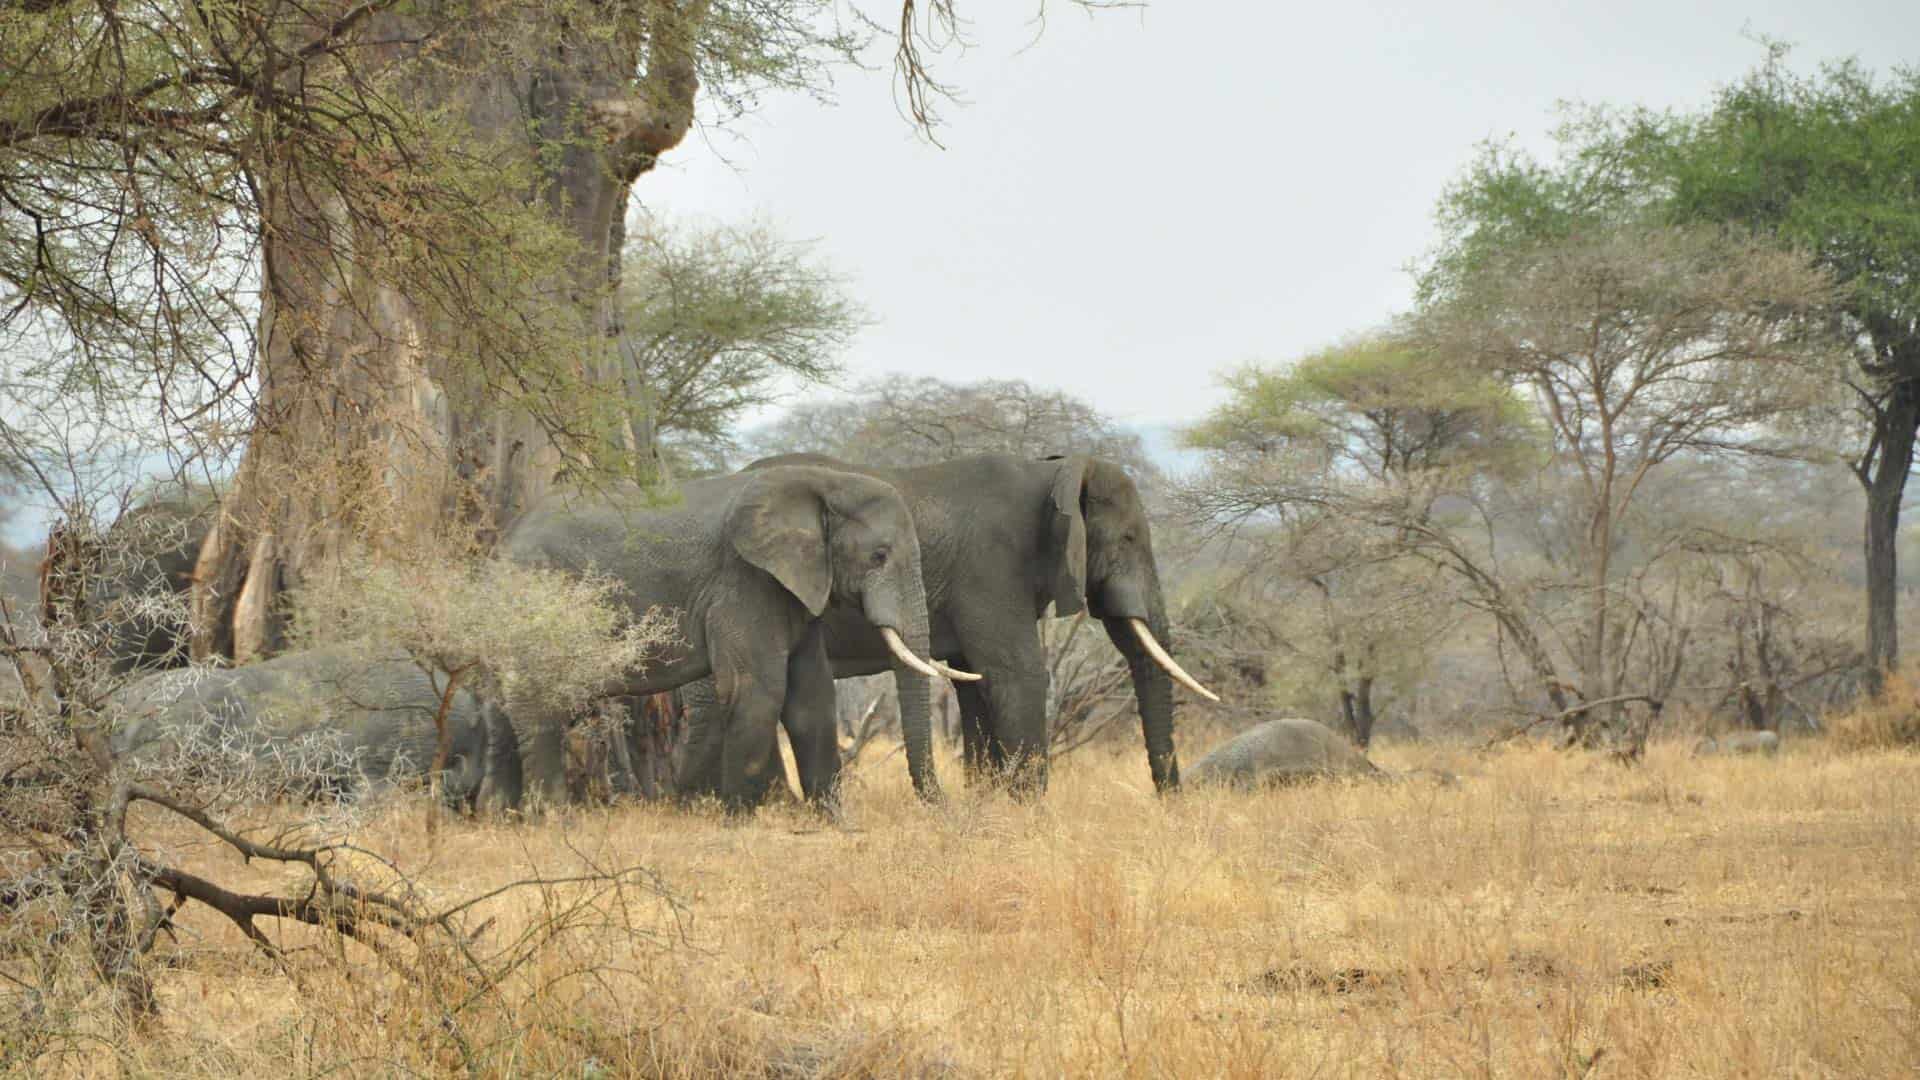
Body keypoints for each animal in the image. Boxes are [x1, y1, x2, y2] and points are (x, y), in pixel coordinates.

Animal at [490, 464, 968, 812]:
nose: (942, 809)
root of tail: (505, 540)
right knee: (537, 701)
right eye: (879, 556)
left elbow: (811, 696)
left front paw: (833, 822)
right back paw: (553, 817)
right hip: (537, 598)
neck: (822, 483)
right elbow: (757, 690)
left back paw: (504, 815)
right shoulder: (743, 582)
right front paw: (738, 819)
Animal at [675, 452, 1216, 803]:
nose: (1170, 802)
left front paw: (989, 802)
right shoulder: (991, 567)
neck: (1053, 470)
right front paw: (1029, 812)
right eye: (1130, 539)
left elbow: (976, 685)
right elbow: (1017, 674)